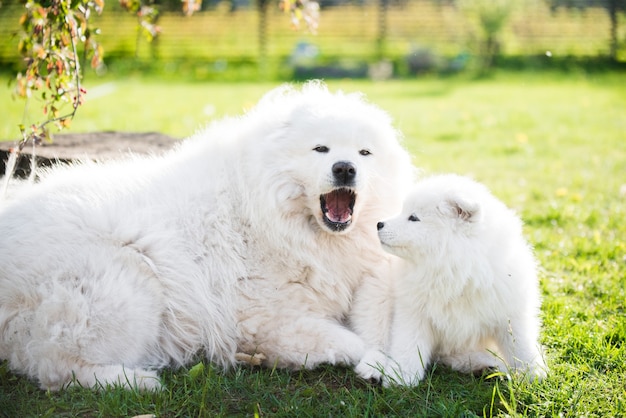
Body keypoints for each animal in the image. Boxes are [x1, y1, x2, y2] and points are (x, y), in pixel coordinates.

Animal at [0, 82, 412, 392]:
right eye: (320, 149)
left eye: (364, 153)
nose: (345, 168)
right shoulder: (267, 321)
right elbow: (352, 341)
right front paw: (377, 361)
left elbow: (374, 317)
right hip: (132, 281)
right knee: (56, 366)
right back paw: (136, 381)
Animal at [372, 173, 544, 386]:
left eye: (413, 217)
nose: (379, 224)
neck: (455, 272)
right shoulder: (414, 312)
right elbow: (408, 345)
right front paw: (400, 378)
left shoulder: (510, 313)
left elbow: (520, 345)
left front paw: (534, 375)